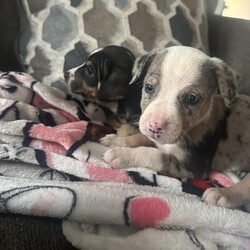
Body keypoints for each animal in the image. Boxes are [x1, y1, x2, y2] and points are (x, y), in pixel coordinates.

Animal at [101, 45, 250, 209]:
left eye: (191, 98)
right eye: (149, 87)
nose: (155, 126)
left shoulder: (192, 165)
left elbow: (153, 154)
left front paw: (123, 154)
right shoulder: (155, 139)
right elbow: (140, 138)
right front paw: (117, 141)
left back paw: (222, 194)